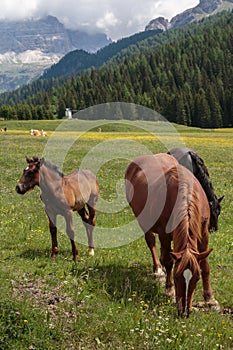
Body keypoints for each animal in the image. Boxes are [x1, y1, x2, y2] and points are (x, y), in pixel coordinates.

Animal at [124, 153, 219, 318]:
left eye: (196, 278)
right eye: (176, 276)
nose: (184, 312)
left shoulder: (203, 234)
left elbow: (205, 265)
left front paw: (210, 299)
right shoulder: (164, 233)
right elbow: (169, 261)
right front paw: (170, 289)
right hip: (143, 220)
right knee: (151, 242)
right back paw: (158, 269)